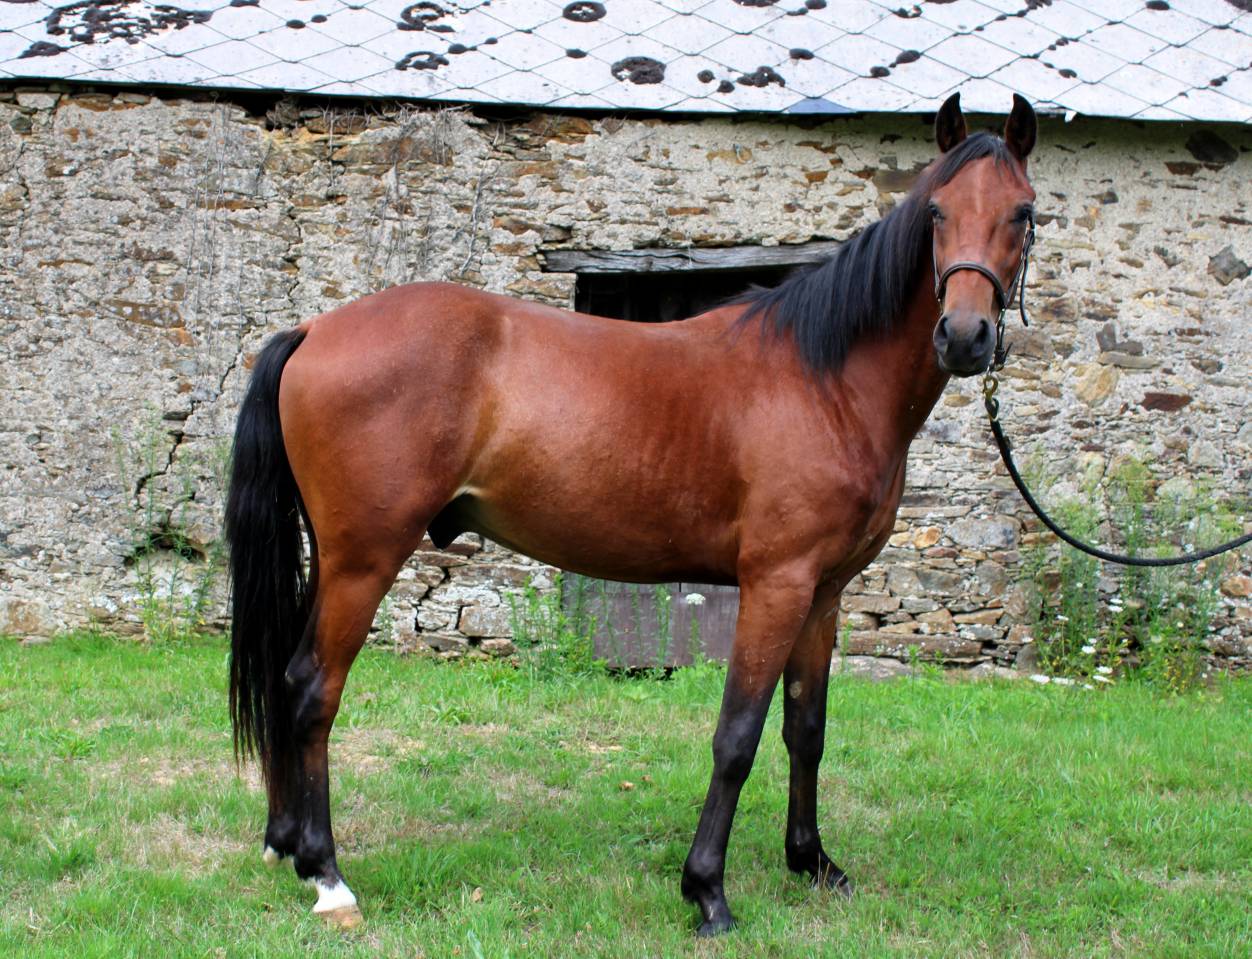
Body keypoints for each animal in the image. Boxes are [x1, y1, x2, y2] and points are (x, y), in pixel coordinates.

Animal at [225, 91, 1038, 936]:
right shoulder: (775, 584)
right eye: (937, 212)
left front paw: (813, 862)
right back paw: (327, 874)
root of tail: (315, 329)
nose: (965, 336)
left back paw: (287, 843)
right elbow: (737, 735)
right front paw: (707, 890)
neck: (825, 379)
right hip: (364, 560)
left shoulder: (825, 593)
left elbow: (805, 729)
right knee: (313, 688)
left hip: (332, 557)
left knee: (286, 677)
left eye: (1024, 213)